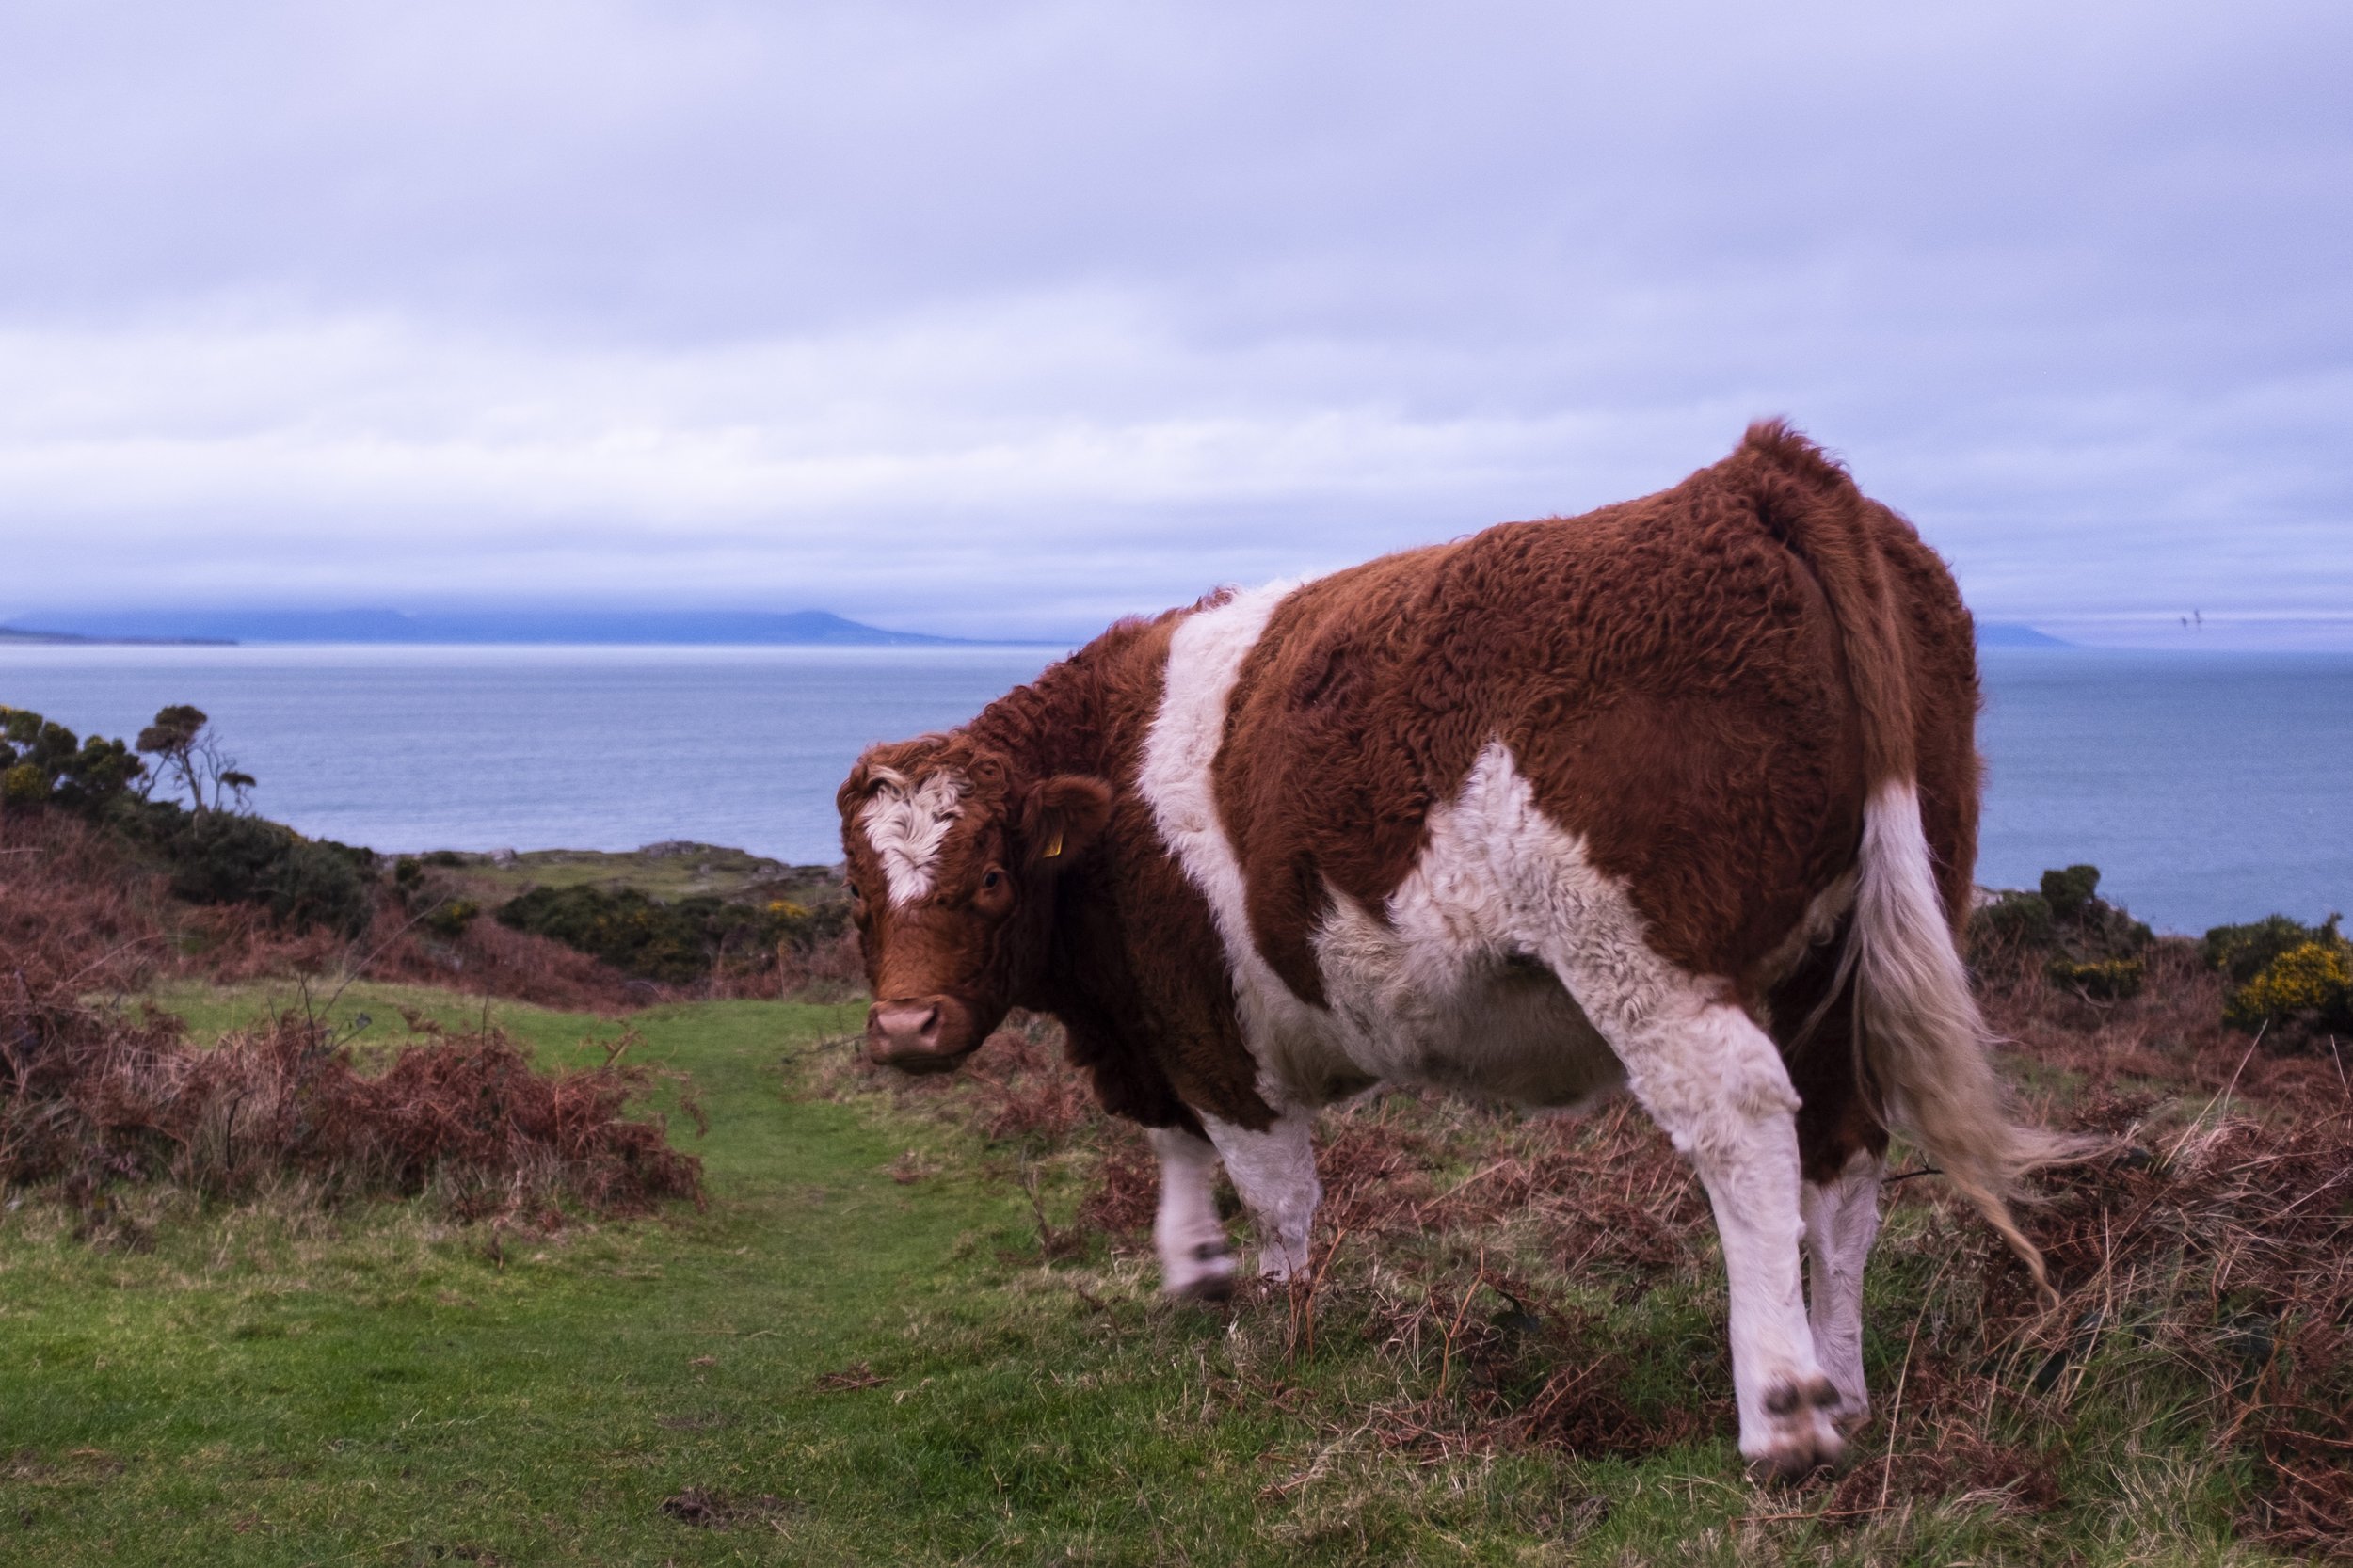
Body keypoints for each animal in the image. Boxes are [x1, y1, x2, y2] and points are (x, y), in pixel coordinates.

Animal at [835, 422, 2077, 1480]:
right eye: (856, 894)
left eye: (992, 880)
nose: (906, 1025)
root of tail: (1749, 476)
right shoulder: (1152, 1017)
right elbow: (1175, 1140)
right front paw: (1194, 1268)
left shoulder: (1206, 1019)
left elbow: (1274, 1189)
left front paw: (1281, 1333)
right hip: (1852, 955)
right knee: (1844, 1158)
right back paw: (1846, 1389)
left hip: (1647, 954)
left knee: (1743, 1126)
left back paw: (1783, 1416)